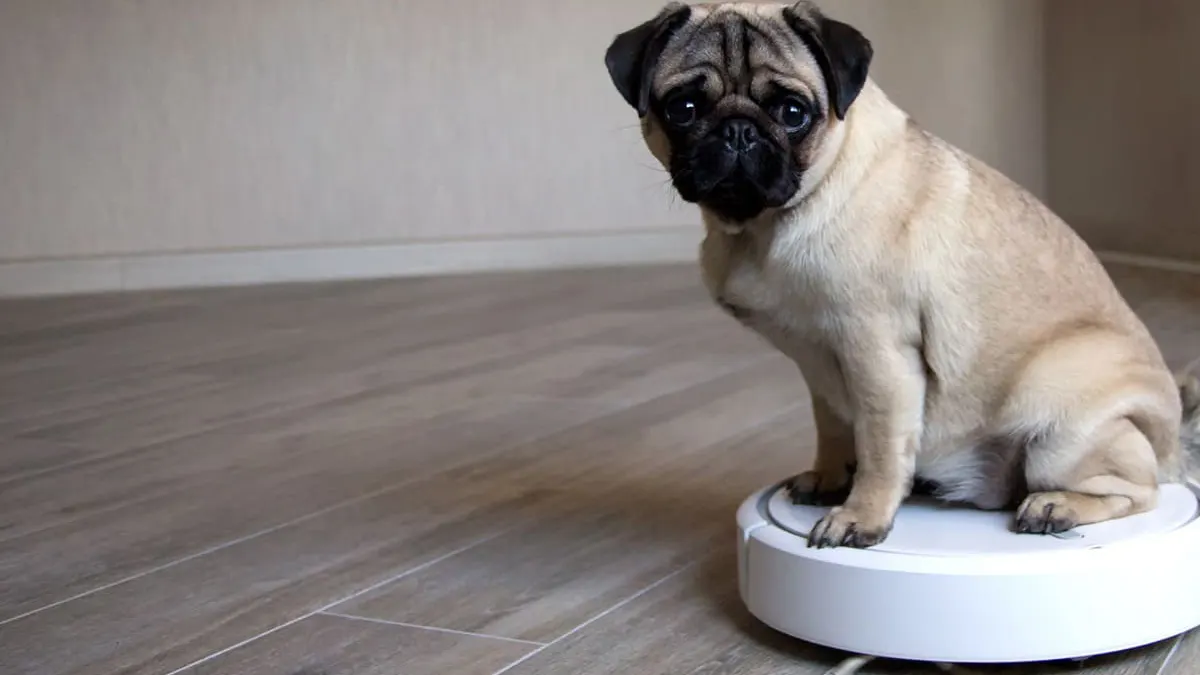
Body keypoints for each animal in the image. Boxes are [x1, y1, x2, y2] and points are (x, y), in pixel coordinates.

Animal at [604, 0, 1200, 547]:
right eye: (683, 108)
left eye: (793, 112)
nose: (737, 133)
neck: (766, 225)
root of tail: (1172, 442)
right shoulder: (819, 367)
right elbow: (834, 429)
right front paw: (829, 477)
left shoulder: (878, 355)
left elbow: (880, 449)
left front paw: (861, 516)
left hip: (1060, 431)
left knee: (1138, 490)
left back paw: (1056, 506)